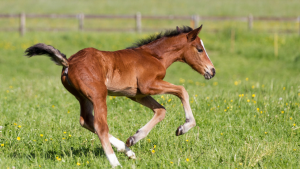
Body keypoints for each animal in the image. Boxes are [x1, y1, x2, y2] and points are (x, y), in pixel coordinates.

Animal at [24, 25, 214, 168]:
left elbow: (161, 111)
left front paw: (133, 138)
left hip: (83, 97)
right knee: (100, 126)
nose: (212, 71)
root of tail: (69, 62)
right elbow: (182, 90)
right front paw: (184, 127)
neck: (154, 56)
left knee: (86, 120)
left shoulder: (137, 94)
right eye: (199, 49)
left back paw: (127, 151)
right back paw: (115, 162)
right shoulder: (148, 85)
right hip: (98, 95)